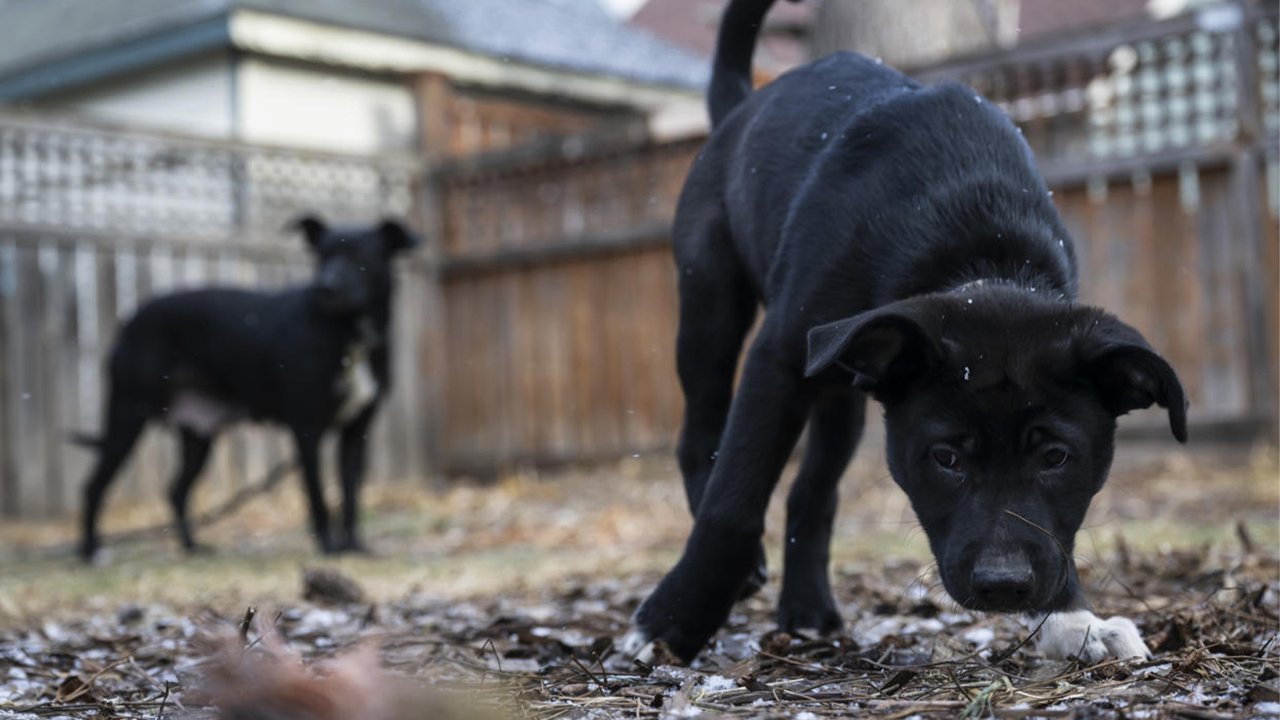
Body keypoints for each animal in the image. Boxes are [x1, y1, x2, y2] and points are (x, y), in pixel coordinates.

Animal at [78, 215, 419, 558]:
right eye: (322, 256)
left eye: (361, 255)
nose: (326, 286)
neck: (349, 333)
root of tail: (130, 321)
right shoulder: (307, 429)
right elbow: (317, 495)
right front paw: (328, 547)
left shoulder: (356, 432)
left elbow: (350, 495)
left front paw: (353, 546)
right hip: (128, 415)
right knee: (93, 487)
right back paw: (91, 551)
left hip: (198, 437)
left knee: (176, 491)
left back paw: (191, 547)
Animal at [619, 0, 1187, 661]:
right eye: (944, 457)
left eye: (1055, 456)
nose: (1004, 586)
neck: (979, 250)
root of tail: (740, 107)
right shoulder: (779, 359)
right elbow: (734, 499)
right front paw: (671, 621)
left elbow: (1050, 533)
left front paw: (1074, 619)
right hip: (712, 299)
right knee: (700, 433)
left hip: (842, 386)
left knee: (814, 488)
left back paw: (808, 607)